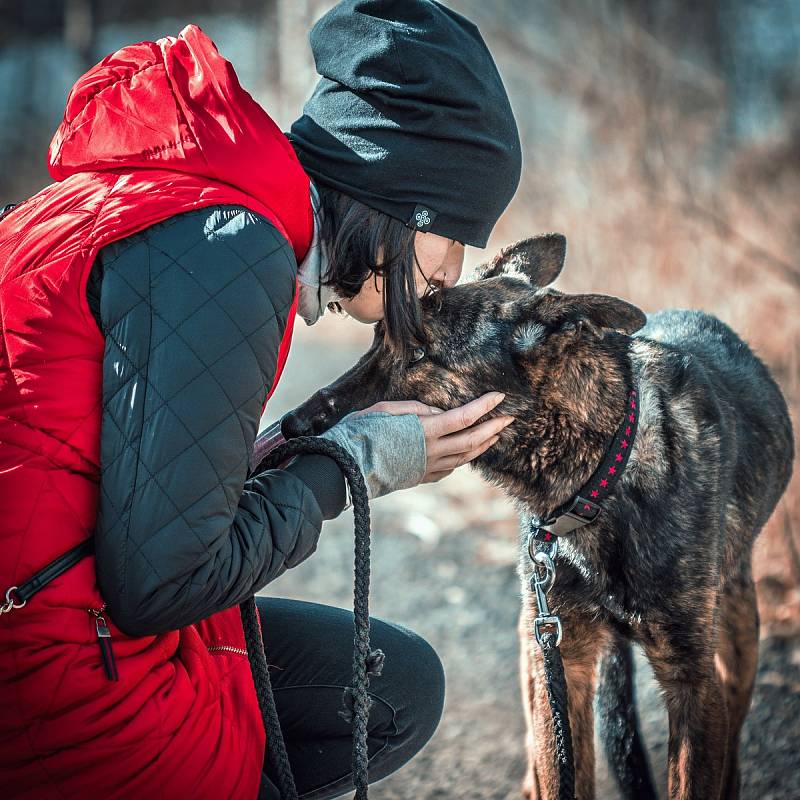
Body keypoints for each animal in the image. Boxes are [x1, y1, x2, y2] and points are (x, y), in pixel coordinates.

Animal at [282, 236, 792, 800]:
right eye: (378, 337)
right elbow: (560, 768)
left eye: (418, 354)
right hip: (536, 644)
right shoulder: (560, 655)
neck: (600, 475)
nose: (292, 426)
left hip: (737, 627)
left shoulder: (691, 679)